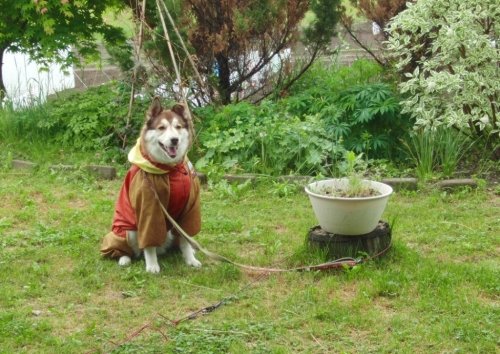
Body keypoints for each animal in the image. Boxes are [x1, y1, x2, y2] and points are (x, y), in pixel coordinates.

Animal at [100, 97, 202, 274]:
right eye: (161, 128)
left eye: (178, 127)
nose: (174, 140)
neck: (170, 169)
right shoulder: (149, 207)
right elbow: (149, 242)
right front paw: (152, 265)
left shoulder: (189, 209)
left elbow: (185, 238)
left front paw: (190, 260)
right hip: (127, 231)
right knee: (129, 249)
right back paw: (124, 258)